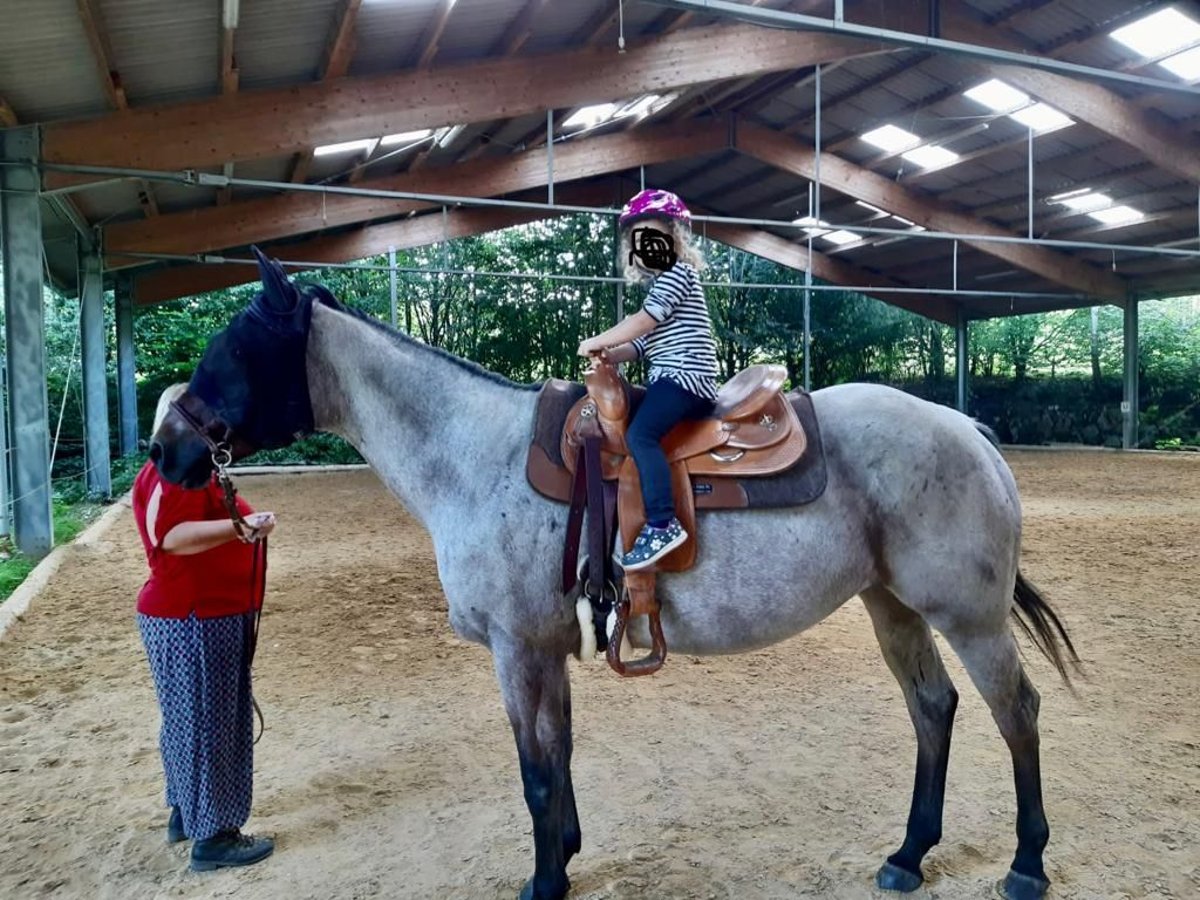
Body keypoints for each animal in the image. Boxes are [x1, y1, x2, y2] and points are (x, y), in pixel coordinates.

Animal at [150, 252, 1080, 900]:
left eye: (232, 348)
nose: (167, 450)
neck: (473, 454)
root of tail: (966, 428)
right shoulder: (547, 649)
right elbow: (558, 754)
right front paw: (564, 857)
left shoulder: (517, 651)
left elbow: (533, 768)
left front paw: (542, 880)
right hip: (893, 607)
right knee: (934, 709)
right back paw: (907, 856)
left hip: (971, 617)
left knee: (1019, 714)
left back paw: (1026, 864)